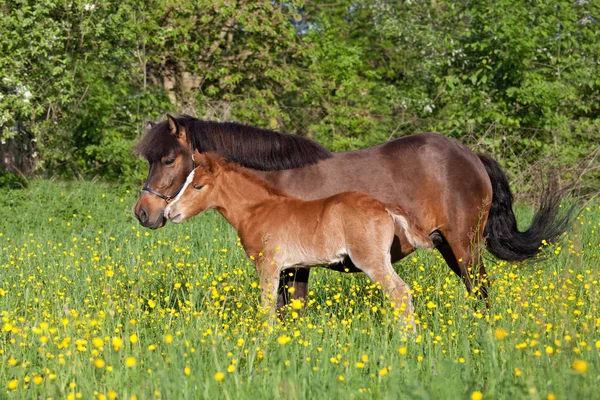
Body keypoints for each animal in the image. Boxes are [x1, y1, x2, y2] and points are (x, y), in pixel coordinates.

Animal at [136, 115, 572, 310]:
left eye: (170, 159)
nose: (144, 213)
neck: (278, 182)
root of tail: (472, 157)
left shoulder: (291, 264)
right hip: (449, 246)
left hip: (465, 245)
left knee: (480, 291)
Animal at [165, 154, 432, 332]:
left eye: (197, 186)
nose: (170, 212)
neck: (257, 210)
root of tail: (383, 205)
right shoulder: (291, 268)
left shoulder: (268, 263)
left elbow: (267, 303)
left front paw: (265, 337)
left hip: (370, 259)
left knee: (399, 291)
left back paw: (407, 339)